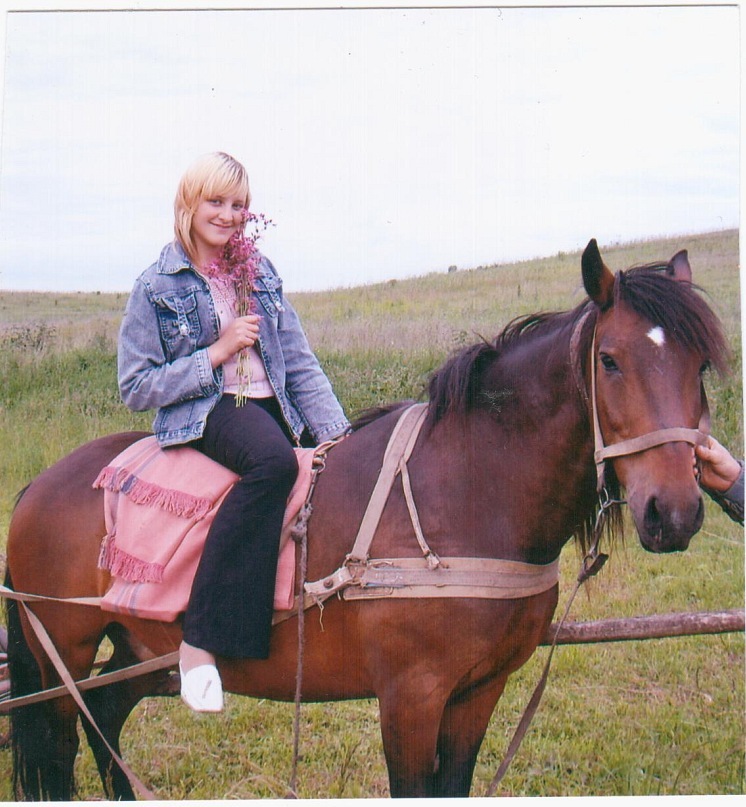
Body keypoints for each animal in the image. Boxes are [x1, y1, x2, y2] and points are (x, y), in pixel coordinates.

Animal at [4, 239, 729, 799]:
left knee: (105, 714)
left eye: (699, 366)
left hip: (143, 648)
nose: (674, 512)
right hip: (61, 652)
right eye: (610, 361)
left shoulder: (479, 691)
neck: (467, 491)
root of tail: (41, 483)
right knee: (61, 746)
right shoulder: (410, 696)